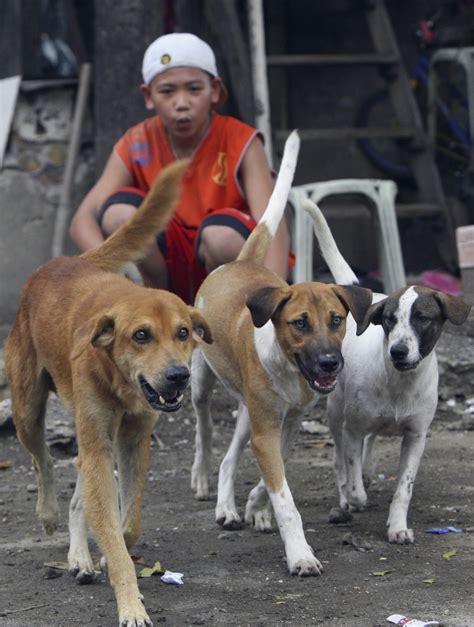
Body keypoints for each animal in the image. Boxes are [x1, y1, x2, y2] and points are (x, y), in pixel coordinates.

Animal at [5, 163, 211, 627]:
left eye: (184, 332)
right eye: (141, 336)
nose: (178, 377)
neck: (121, 383)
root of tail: (63, 261)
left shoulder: (132, 442)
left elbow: (125, 524)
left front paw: (103, 553)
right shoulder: (99, 442)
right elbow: (112, 534)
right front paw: (130, 605)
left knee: (80, 486)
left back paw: (81, 557)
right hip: (27, 411)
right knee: (43, 459)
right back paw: (50, 516)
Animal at [190, 134, 374, 580]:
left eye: (337, 320)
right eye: (300, 323)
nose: (330, 364)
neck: (289, 368)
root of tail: (240, 262)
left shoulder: (284, 426)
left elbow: (272, 481)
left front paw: (257, 507)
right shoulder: (266, 433)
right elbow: (286, 501)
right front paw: (300, 554)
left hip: (247, 414)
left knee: (229, 459)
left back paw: (231, 506)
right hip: (201, 382)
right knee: (205, 431)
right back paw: (204, 482)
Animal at [304, 200, 470, 544]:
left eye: (422, 318)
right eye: (389, 320)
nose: (398, 351)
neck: (399, 382)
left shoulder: (416, 437)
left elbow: (403, 488)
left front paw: (397, 525)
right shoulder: (352, 429)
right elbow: (353, 479)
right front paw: (354, 496)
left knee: (372, 440)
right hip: (335, 409)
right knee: (339, 457)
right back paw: (346, 492)